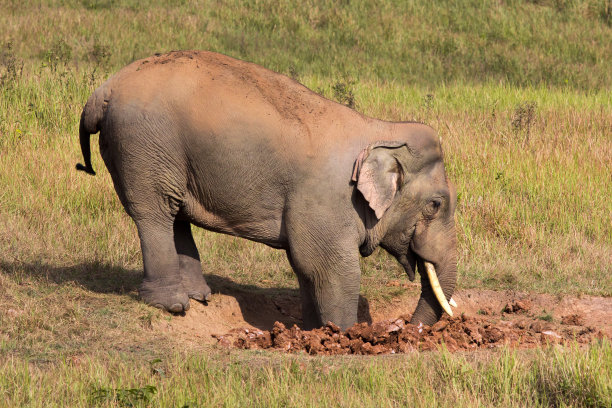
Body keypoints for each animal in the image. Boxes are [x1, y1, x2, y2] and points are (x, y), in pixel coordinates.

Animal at [76, 51, 456, 332]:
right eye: (435, 204)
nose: (408, 329)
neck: (380, 130)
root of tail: (103, 91)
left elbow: (306, 268)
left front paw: (312, 330)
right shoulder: (327, 201)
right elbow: (331, 267)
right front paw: (344, 335)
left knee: (176, 213)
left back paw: (199, 297)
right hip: (144, 145)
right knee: (154, 212)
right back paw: (173, 304)